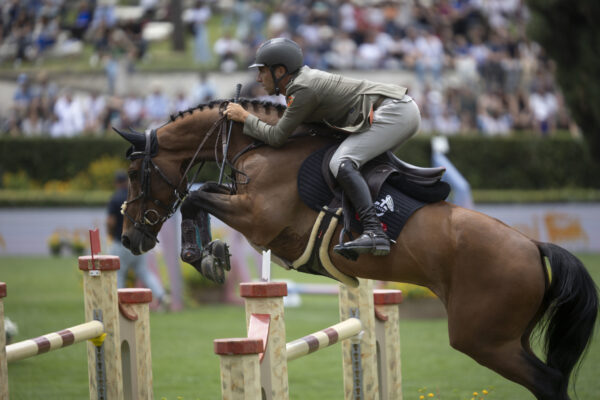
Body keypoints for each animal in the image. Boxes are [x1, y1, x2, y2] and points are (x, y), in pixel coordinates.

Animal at [115, 97, 596, 400]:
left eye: (136, 175)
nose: (128, 238)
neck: (262, 143)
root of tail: (534, 246)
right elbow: (200, 194)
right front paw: (211, 254)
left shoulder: (259, 218)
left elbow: (195, 196)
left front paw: (205, 256)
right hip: (505, 336)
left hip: (482, 337)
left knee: (548, 382)